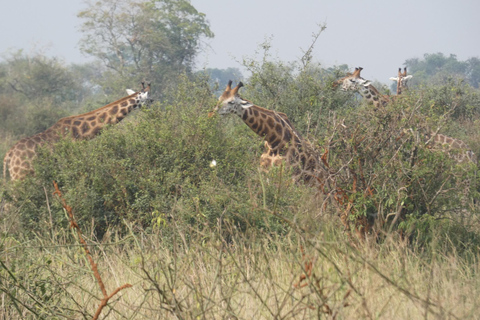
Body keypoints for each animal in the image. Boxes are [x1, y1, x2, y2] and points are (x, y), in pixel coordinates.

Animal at [2, 84, 151, 181]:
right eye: (150, 99)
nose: (153, 108)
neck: (81, 132)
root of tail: (8, 155)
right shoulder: (72, 161)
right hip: (21, 175)